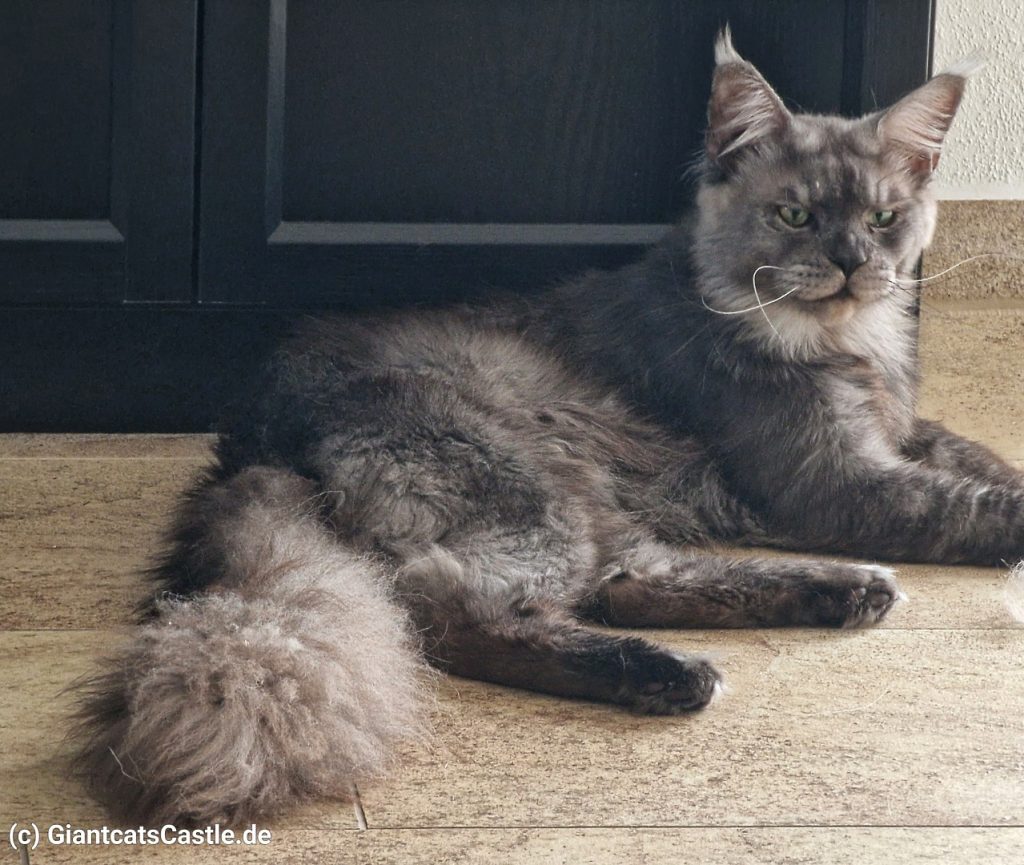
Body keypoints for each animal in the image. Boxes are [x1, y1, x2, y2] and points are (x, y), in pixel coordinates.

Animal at [70, 32, 1015, 823]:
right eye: (795, 216)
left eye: (885, 217)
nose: (856, 265)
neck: (843, 343)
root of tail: (256, 427)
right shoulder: (835, 481)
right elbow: (970, 506)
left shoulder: (902, 436)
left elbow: (982, 461)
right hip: (529, 485)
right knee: (456, 610)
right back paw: (669, 670)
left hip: (586, 495)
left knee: (625, 579)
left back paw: (839, 594)